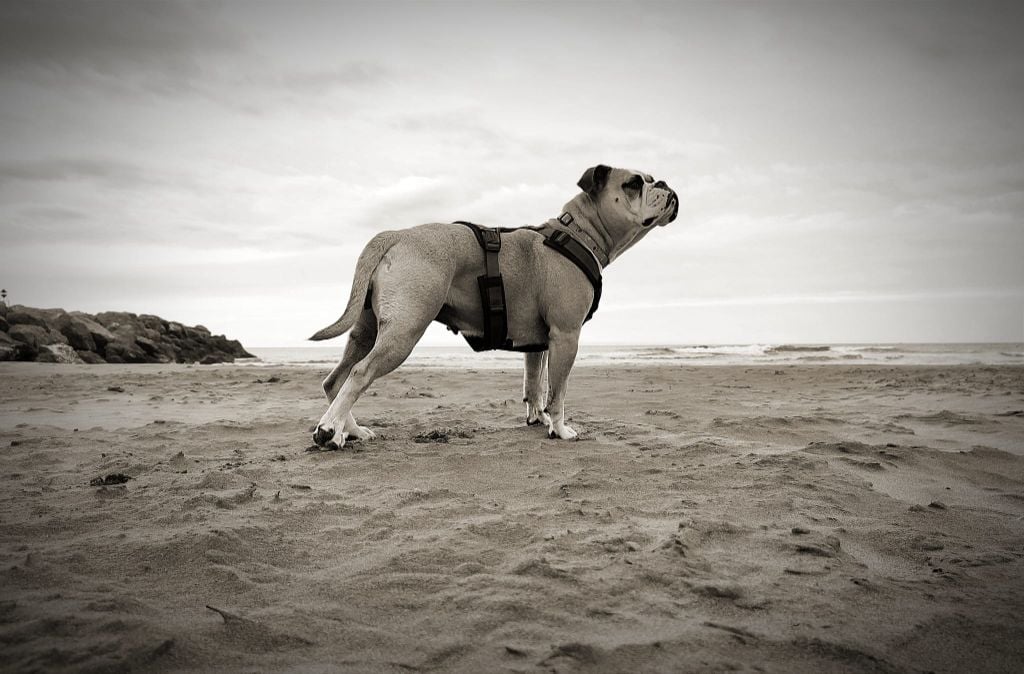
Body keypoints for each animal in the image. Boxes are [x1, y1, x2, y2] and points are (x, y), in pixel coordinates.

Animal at [311, 163, 679, 446]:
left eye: (651, 178)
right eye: (634, 183)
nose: (664, 184)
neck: (579, 233)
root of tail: (397, 235)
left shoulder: (538, 343)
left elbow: (535, 385)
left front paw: (538, 418)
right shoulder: (566, 335)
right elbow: (557, 391)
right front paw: (560, 429)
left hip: (367, 331)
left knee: (336, 379)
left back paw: (349, 431)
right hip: (403, 332)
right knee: (359, 374)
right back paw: (328, 429)